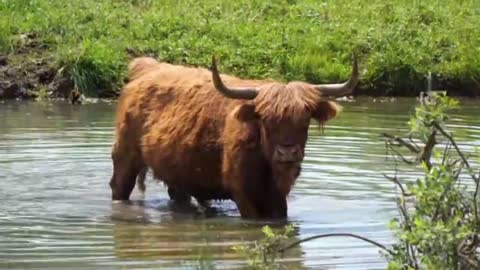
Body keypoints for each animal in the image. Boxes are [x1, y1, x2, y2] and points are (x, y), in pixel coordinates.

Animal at [109, 54, 356, 219]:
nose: (287, 152)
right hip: (125, 157)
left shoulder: (278, 197)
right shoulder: (243, 193)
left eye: (305, 119)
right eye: (265, 119)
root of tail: (147, 69)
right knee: (119, 187)